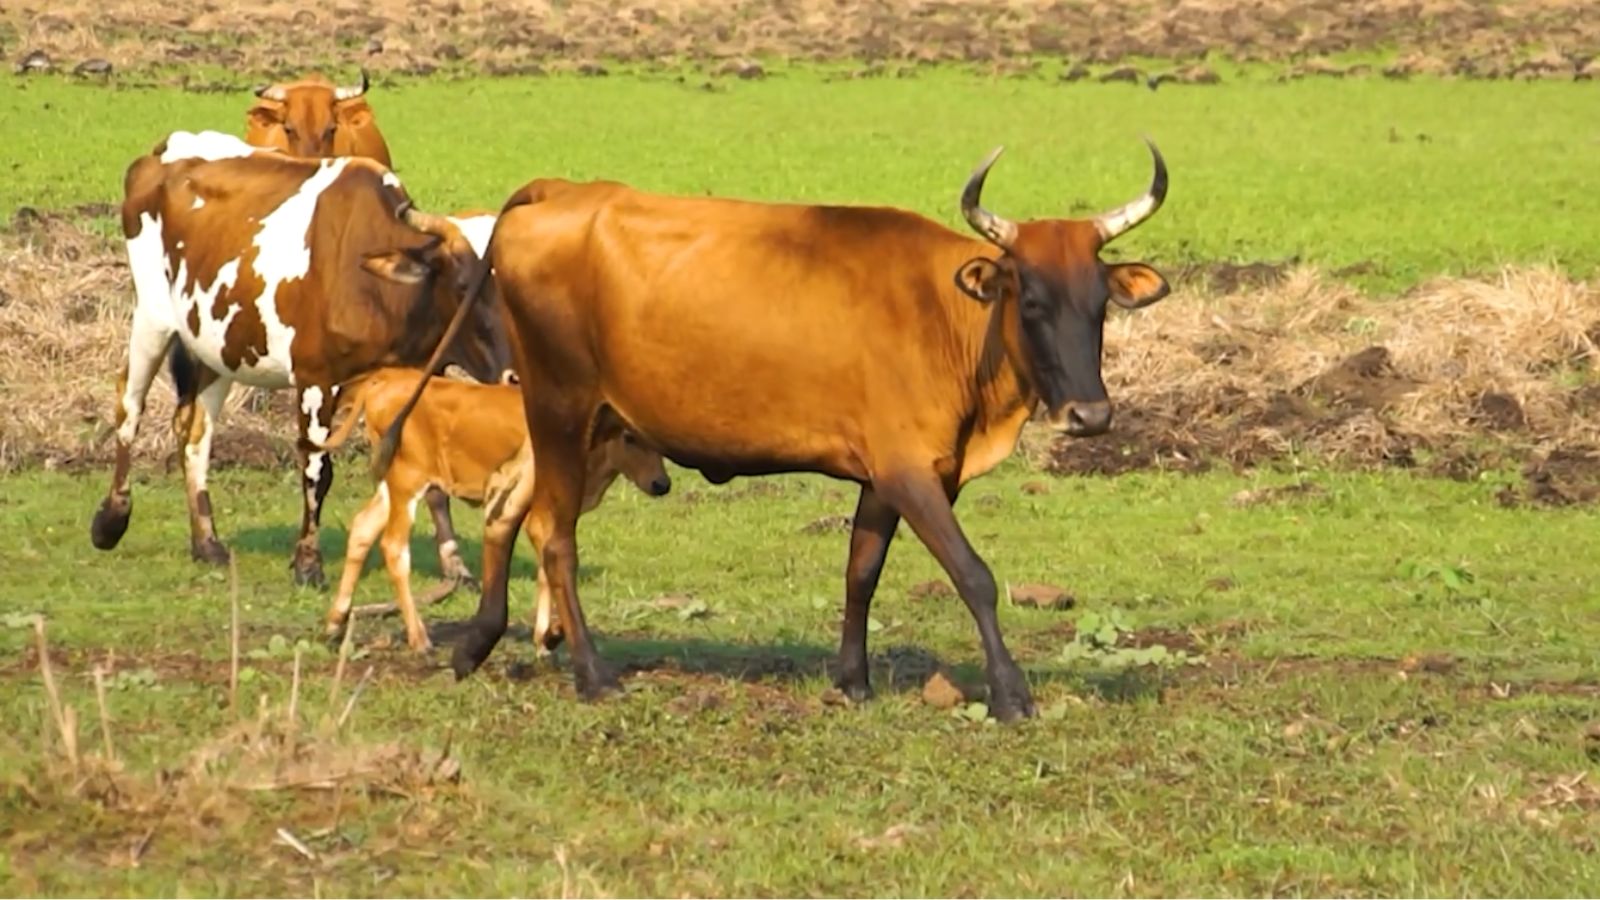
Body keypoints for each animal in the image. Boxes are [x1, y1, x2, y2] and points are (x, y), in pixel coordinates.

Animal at [89, 129, 512, 586]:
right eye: (464, 282)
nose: (512, 375)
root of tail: (168, 147)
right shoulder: (315, 378)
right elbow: (316, 469)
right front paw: (308, 562)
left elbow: (428, 477)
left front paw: (455, 565)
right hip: (153, 316)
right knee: (129, 404)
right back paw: (111, 520)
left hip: (217, 342)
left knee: (196, 431)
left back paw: (207, 543)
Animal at [321, 365, 672, 650]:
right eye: (629, 437)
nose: (662, 483)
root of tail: (387, 378)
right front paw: (546, 636)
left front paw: (546, 635)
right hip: (408, 481)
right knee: (394, 547)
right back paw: (419, 638)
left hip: (391, 484)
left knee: (363, 526)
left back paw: (335, 622)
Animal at [380, 136, 1171, 717]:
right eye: (1030, 300)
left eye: (1099, 302)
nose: (1090, 414)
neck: (944, 311)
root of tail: (567, 190)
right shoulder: (912, 473)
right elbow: (973, 575)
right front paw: (1010, 693)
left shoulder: (888, 476)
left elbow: (861, 571)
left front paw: (852, 680)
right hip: (560, 405)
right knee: (554, 534)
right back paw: (593, 674)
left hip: (568, 419)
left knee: (508, 512)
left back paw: (476, 644)